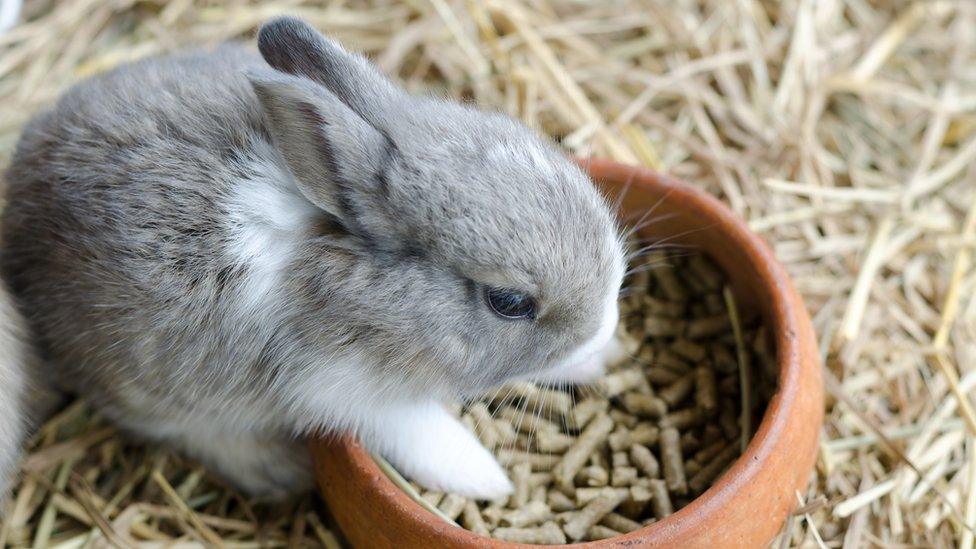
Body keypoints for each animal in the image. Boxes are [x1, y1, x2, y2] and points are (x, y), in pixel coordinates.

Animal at [0, 15, 624, 504]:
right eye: (509, 301)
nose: (603, 329)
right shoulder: (344, 391)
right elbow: (421, 433)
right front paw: (488, 480)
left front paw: (594, 361)